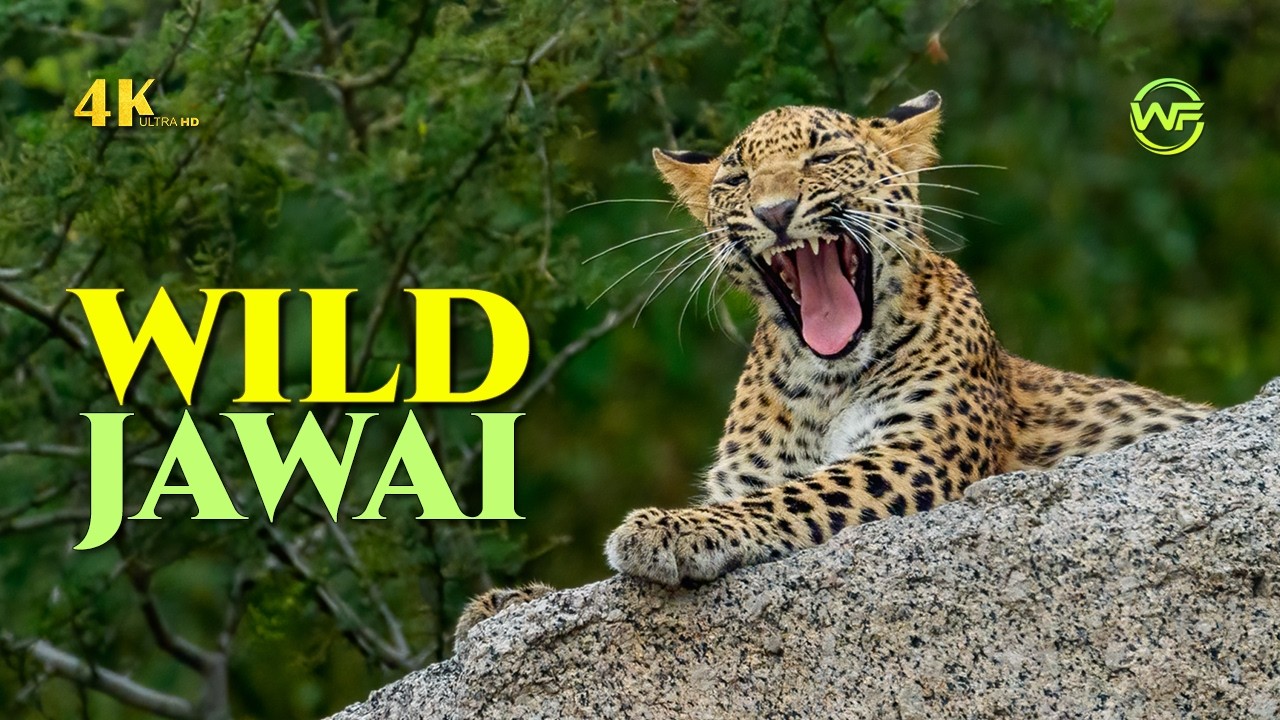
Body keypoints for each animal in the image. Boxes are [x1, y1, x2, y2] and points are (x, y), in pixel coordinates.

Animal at [454, 90, 1212, 642]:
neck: (822, 381)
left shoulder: (916, 454)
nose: (775, 210)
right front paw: (510, 603)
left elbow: (800, 494)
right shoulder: (752, 471)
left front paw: (668, 528)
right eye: (736, 179)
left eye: (824, 157)